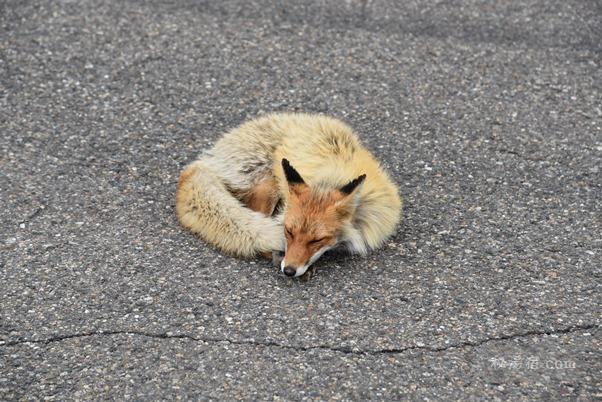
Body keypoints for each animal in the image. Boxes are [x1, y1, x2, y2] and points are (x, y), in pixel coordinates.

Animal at [175, 111, 398, 278]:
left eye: (316, 240)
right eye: (288, 232)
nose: (289, 270)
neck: (329, 178)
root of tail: (202, 162)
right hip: (267, 183)